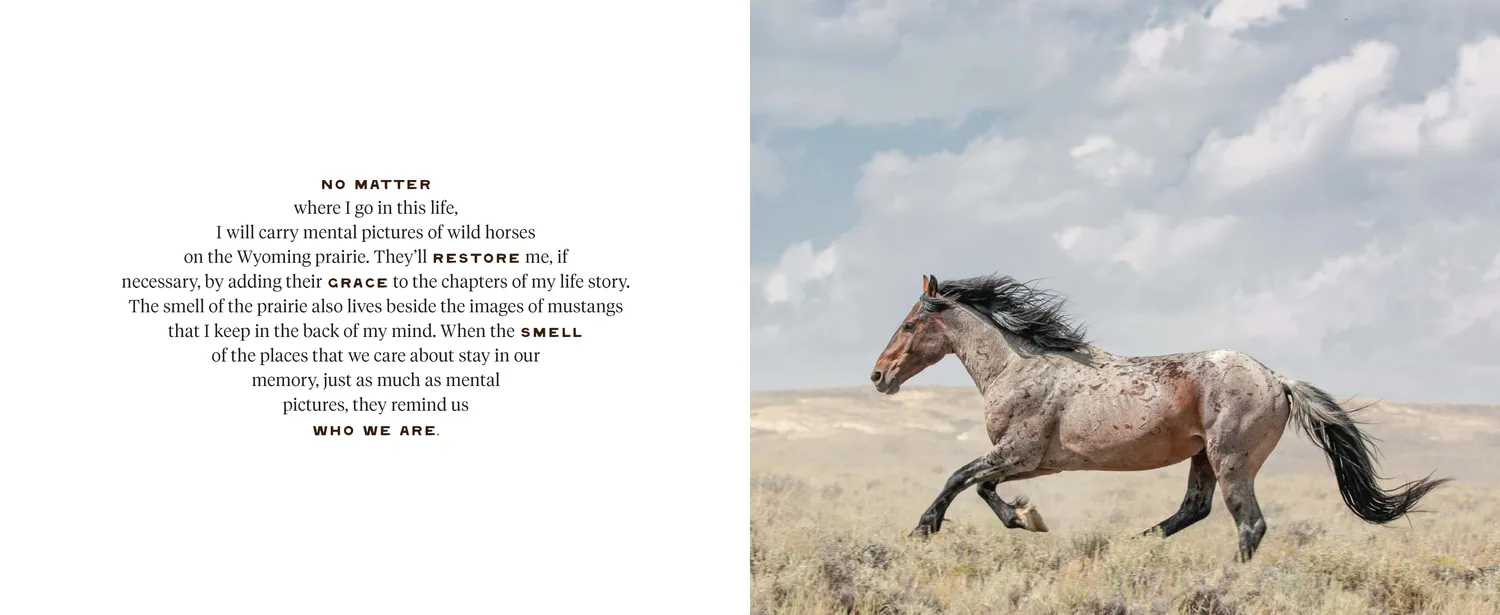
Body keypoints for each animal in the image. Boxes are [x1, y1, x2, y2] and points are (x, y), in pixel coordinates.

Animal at [868, 273, 1451, 562]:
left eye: (908, 323)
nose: (878, 375)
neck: (1018, 365)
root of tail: (1279, 380)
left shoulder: (1019, 451)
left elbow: (959, 477)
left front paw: (923, 529)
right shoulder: (1034, 461)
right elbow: (984, 487)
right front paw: (1028, 518)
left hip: (1231, 459)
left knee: (1249, 524)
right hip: (1203, 459)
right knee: (1194, 509)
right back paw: (1132, 545)